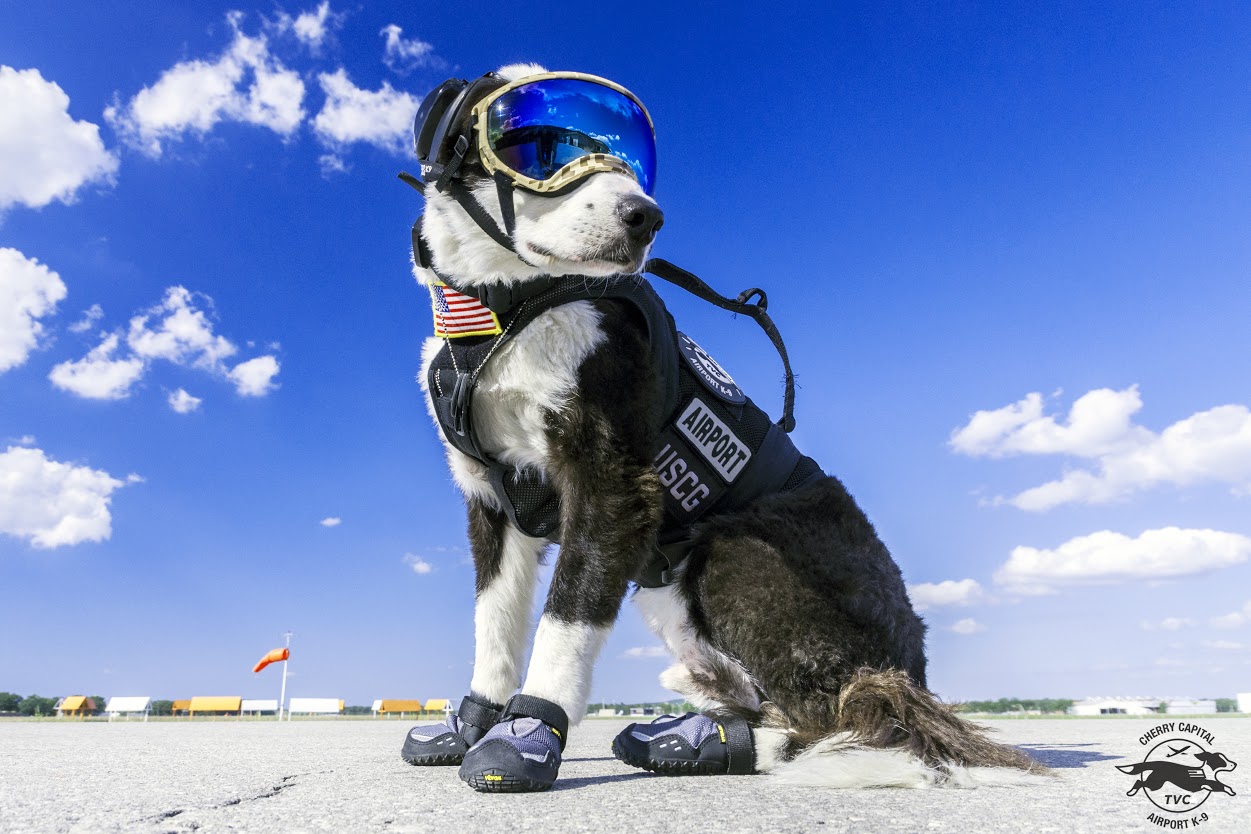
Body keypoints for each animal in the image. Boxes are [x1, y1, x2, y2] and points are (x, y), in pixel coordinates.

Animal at [405, 61, 1040, 795]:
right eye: (538, 148)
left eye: (632, 159)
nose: (645, 216)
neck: (506, 309)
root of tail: (912, 673)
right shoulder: (493, 501)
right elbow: (496, 623)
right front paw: (473, 722)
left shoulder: (612, 489)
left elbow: (564, 618)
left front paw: (527, 732)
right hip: (667, 587)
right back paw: (694, 736)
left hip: (731, 553)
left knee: (844, 717)